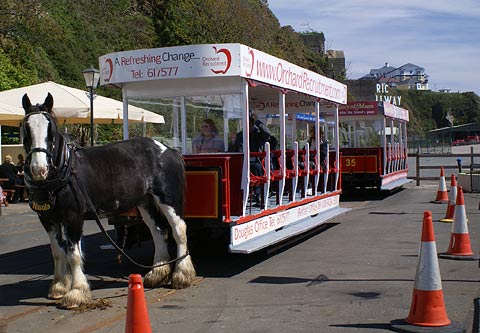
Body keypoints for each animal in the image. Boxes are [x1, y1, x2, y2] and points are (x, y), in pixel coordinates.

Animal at [21, 92, 195, 308]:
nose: (39, 169)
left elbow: (74, 254)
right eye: (25, 128)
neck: (64, 171)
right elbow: (57, 251)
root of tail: (169, 150)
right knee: (158, 231)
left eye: (50, 129)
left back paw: (182, 275)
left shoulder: (73, 217)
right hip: (145, 202)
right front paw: (59, 287)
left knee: (178, 230)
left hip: (167, 199)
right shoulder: (48, 218)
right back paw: (157, 273)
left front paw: (76, 293)